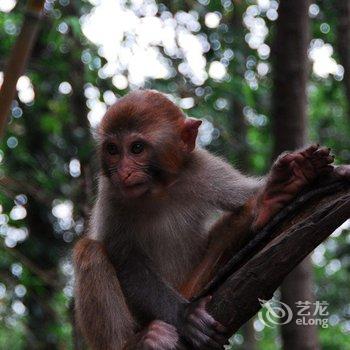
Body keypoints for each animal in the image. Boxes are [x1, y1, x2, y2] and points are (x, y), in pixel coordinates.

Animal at [72, 89, 346, 348]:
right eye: (113, 150)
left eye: (136, 148)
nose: (123, 172)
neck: (158, 188)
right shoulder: (111, 193)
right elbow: (125, 259)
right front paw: (184, 315)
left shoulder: (203, 167)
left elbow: (242, 200)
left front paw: (280, 187)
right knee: (90, 251)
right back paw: (136, 342)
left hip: (195, 284)